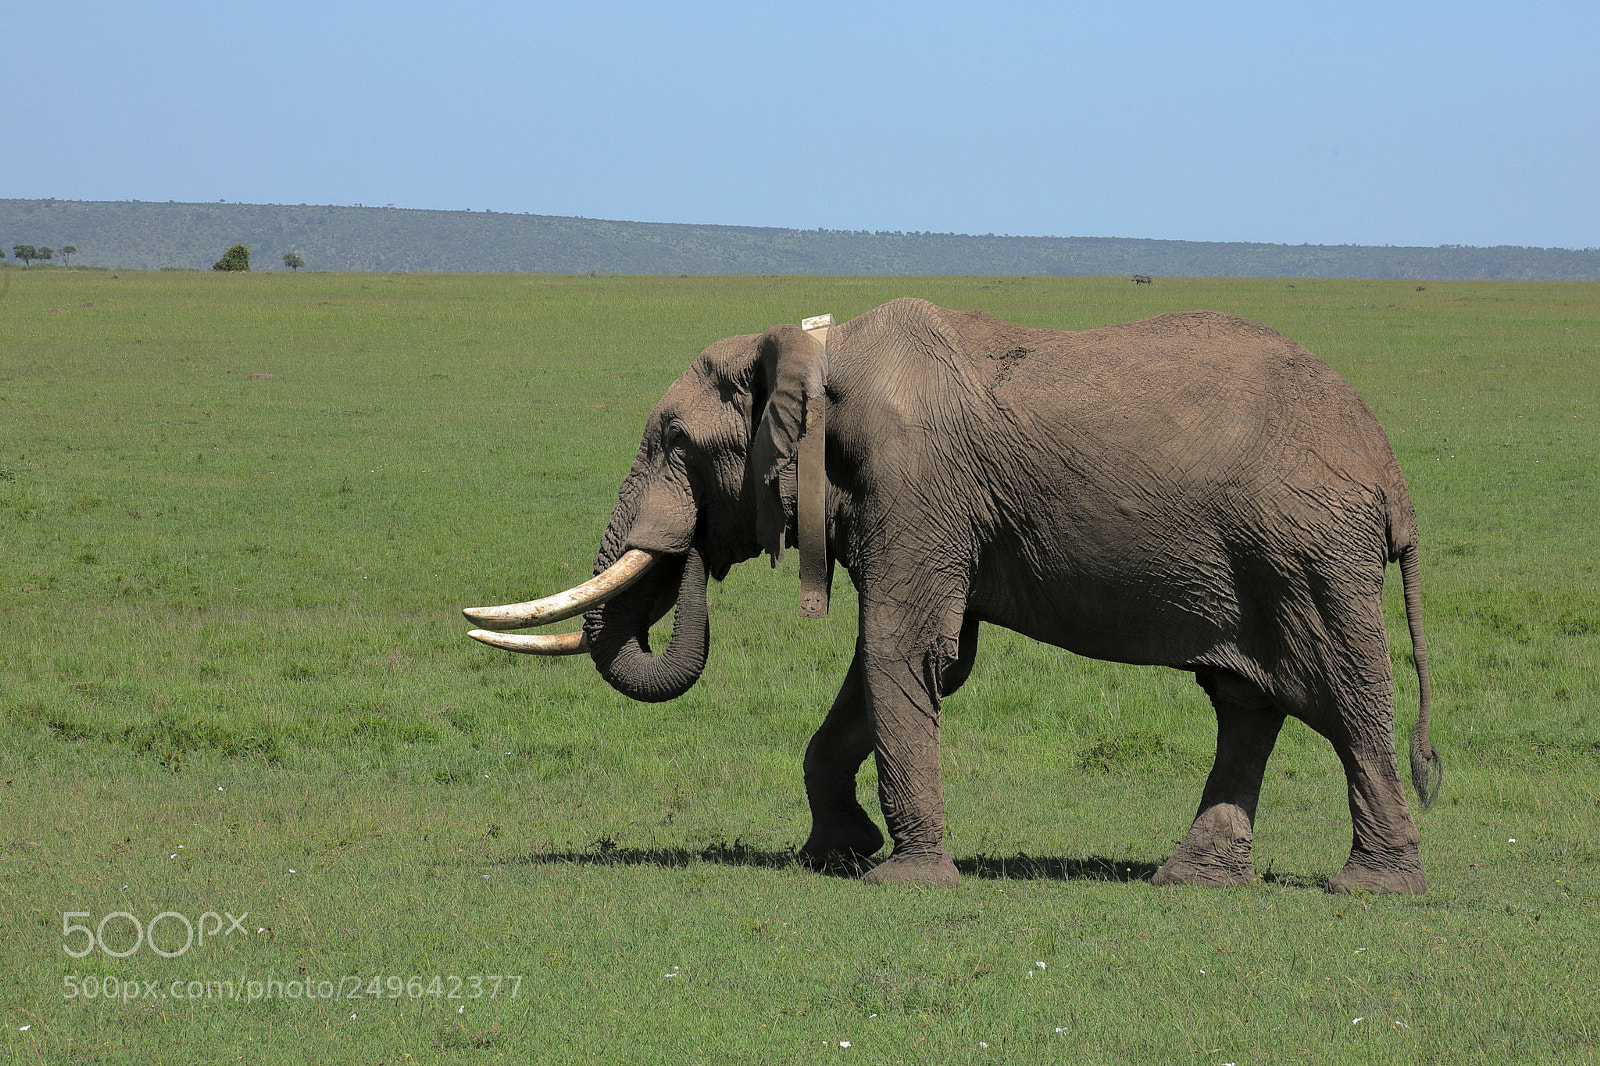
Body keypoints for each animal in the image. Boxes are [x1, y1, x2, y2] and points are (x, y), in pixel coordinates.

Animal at [464, 298, 1441, 893]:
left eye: (675, 441)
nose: (695, 550)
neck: (822, 347)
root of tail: (1393, 473)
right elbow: (911, 664)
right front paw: (834, 854)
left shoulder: (914, 483)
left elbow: (901, 651)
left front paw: (901, 880)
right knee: (1246, 701)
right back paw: (1192, 881)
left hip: (1310, 554)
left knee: (1345, 702)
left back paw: (1371, 887)